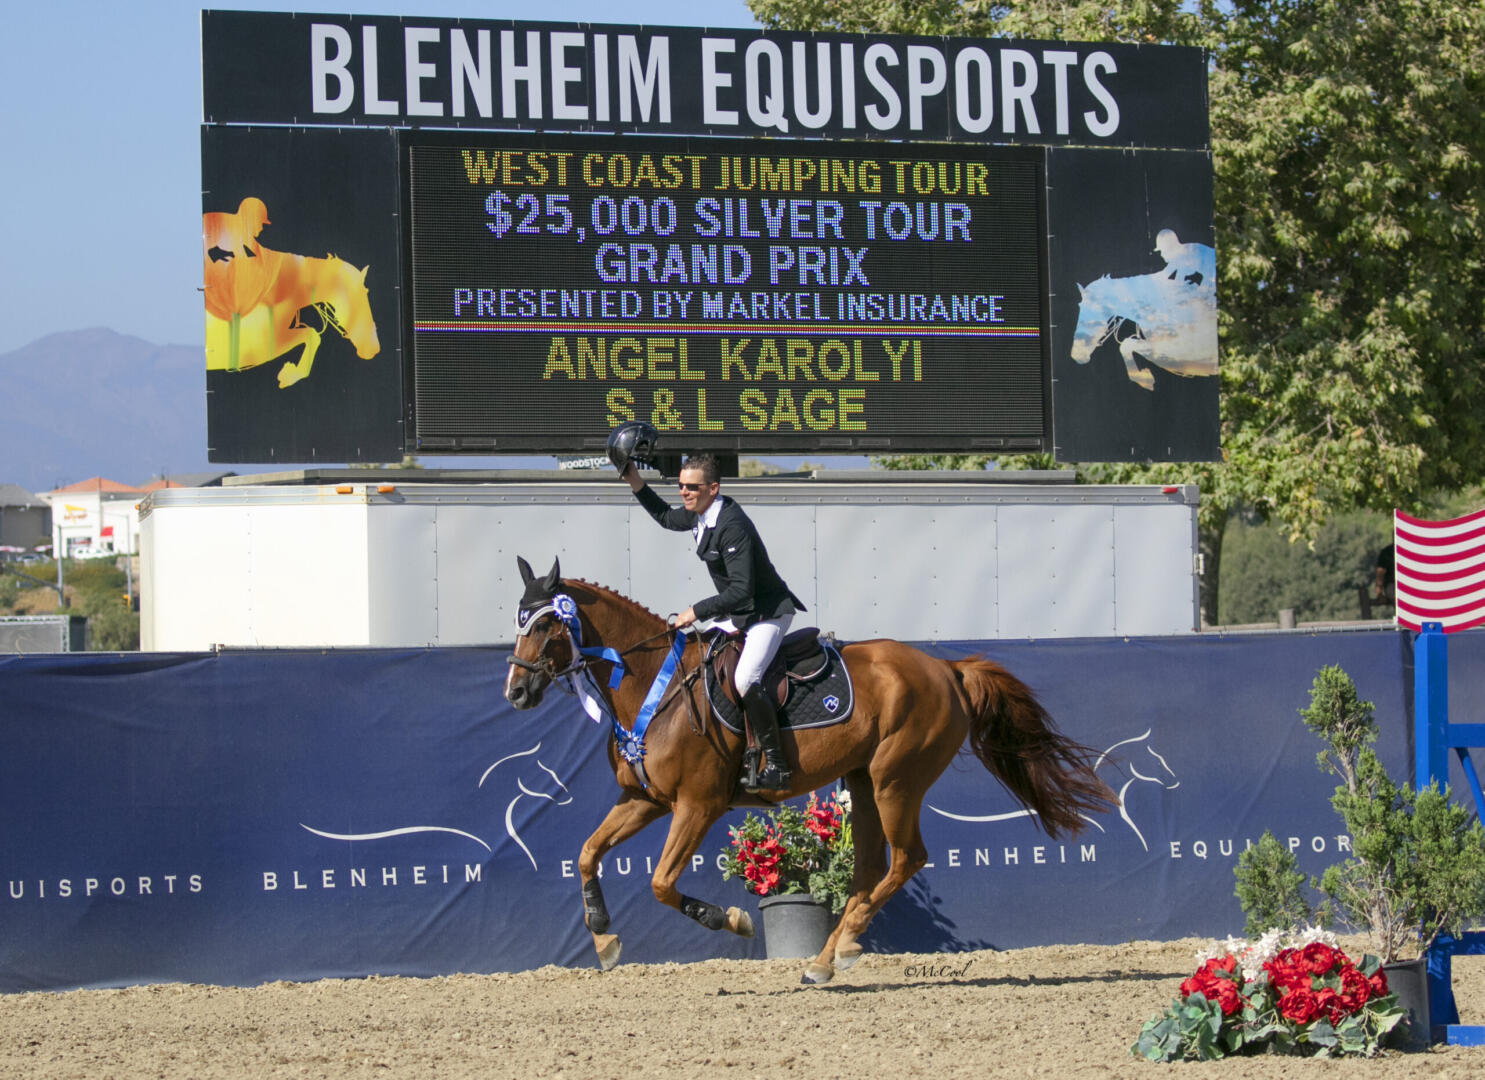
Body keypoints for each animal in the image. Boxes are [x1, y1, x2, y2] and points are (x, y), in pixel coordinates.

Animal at [504, 561, 1110, 986]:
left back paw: (844, 946)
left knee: (906, 858)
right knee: (869, 868)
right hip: (863, 783)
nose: (516, 692)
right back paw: (823, 960)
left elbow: (659, 882)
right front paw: (604, 940)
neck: (657, 686)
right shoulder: (645, 800)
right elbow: (588, 852)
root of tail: (945, 667)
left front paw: (732, 921)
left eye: (546, 624)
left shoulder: (697, 805)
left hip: (896, 780)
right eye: (519, 623)